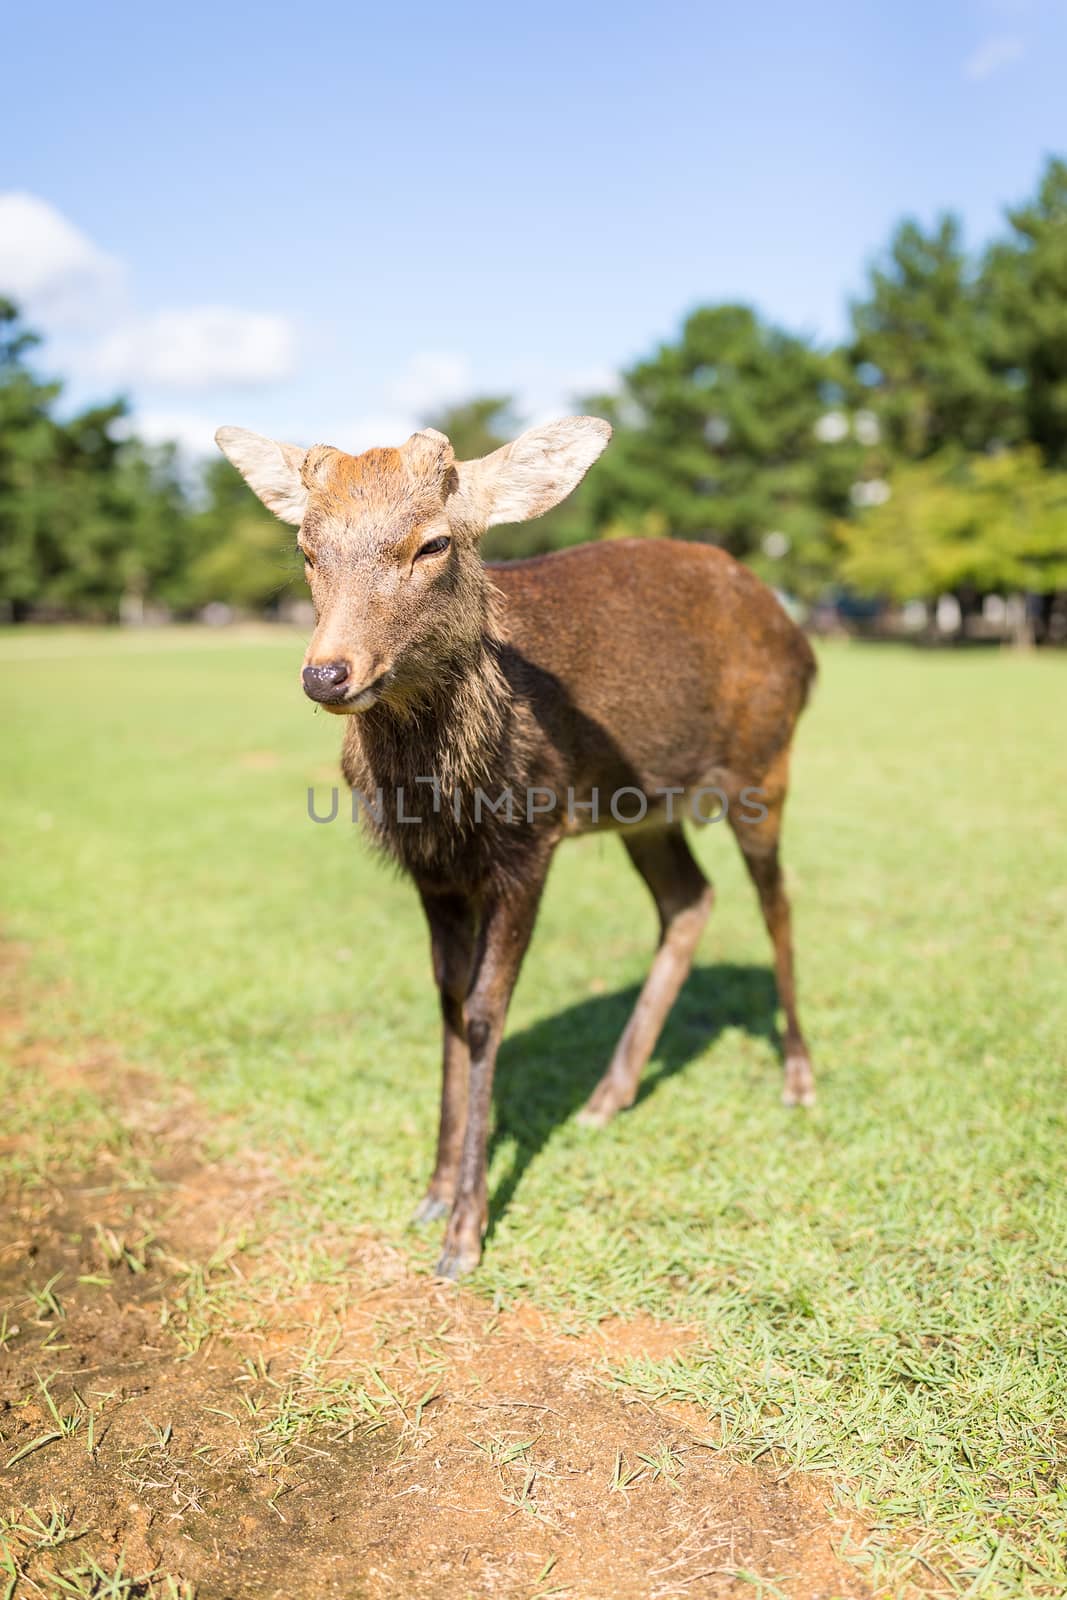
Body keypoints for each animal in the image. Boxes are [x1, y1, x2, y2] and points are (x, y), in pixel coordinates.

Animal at [214, 412, 819, 1273]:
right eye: (305, 547)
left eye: (433, 543)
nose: (326, 674)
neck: (451, 798)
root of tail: (804, 643)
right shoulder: (432, 869)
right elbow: (445, 1002)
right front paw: (432, 1194)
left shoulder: (532, 841)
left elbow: (484, 1012)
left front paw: (466, 1232)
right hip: (645, 807)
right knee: (689, 899)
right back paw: (608, 1095)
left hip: (764, 765)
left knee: (776, 904)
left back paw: (797, 1078)